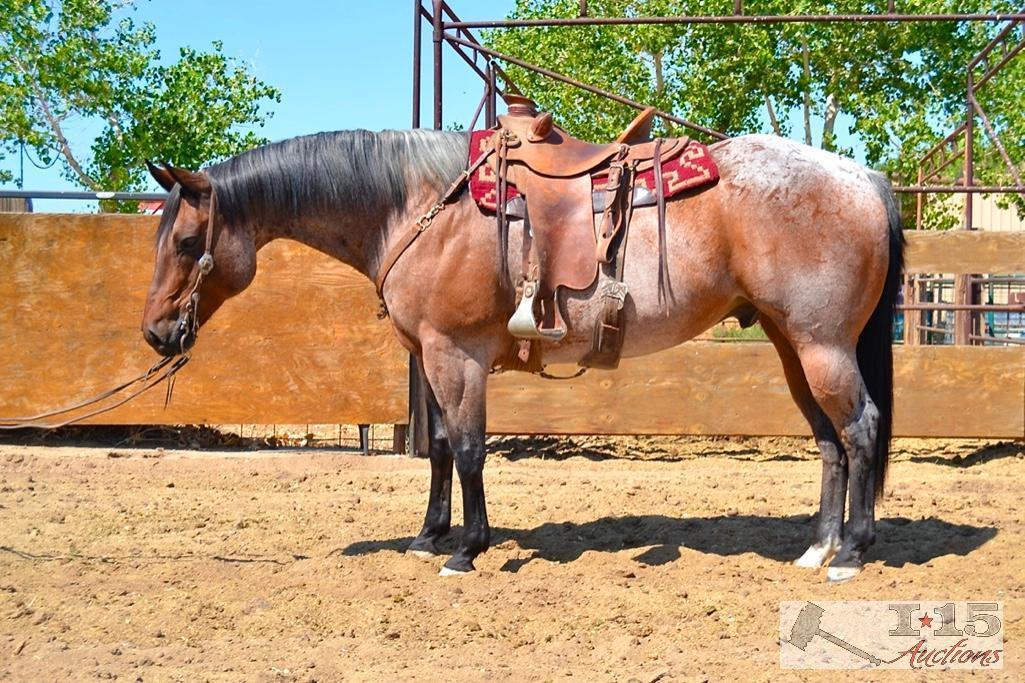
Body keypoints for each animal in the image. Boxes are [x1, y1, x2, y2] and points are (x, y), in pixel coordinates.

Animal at [140, 127, 902, 578]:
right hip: (790, 344)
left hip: (821, 346)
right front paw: (429, 536)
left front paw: (467, 549)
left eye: (187, 241)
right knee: (829, 440)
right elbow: (439, 446)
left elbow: (470, 448)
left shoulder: (457, 356)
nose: (155, 333)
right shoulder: (430, 357)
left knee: (860, 429)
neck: (419, 206)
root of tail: (861, 178)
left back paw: (852, 551)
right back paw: (816, 546)